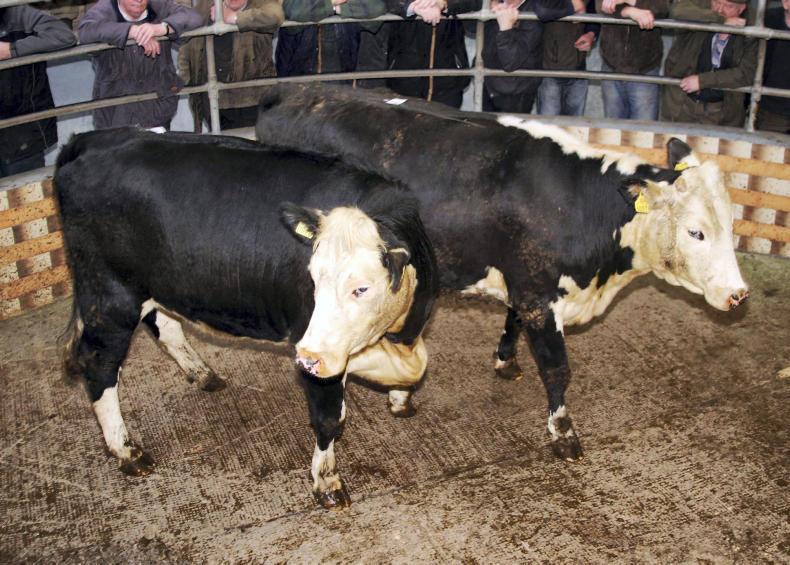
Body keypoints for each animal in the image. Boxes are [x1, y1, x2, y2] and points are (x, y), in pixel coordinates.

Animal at [53, 127, 439, 508]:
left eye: (361, 288)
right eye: (313, 279)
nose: (307, 358)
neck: (396, 335)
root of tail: (91, 138)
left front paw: (401, 400)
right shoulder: (314, 344)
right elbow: (330, 419)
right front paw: (327, 482)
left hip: (155, 287)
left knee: (165, 327)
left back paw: (203, 374)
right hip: (111, 294)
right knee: (98, 361)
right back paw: (127, 451)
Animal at [255, 83, 749, 461]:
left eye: (730, 222)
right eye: (696, 232)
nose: (738, 294)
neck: (580, 203)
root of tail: (294, 91)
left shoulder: (523, 284)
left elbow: (511, 323)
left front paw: (506, 360)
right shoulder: (538, 296)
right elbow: (557, 369)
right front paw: (564, 434)